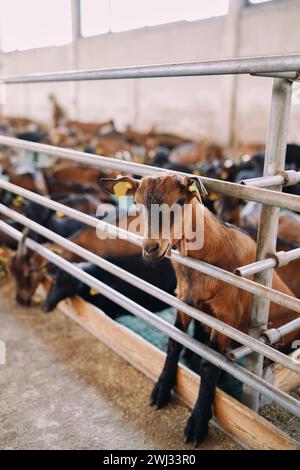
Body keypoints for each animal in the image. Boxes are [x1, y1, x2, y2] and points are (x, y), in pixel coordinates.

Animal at [101, 174, 300, 446]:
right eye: (137, 203)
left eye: (180, 201)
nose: (150, 248)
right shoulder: (185, 300)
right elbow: (174, 343)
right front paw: (161, 390)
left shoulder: (227, 315)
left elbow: (209, 365)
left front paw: (196, 425)